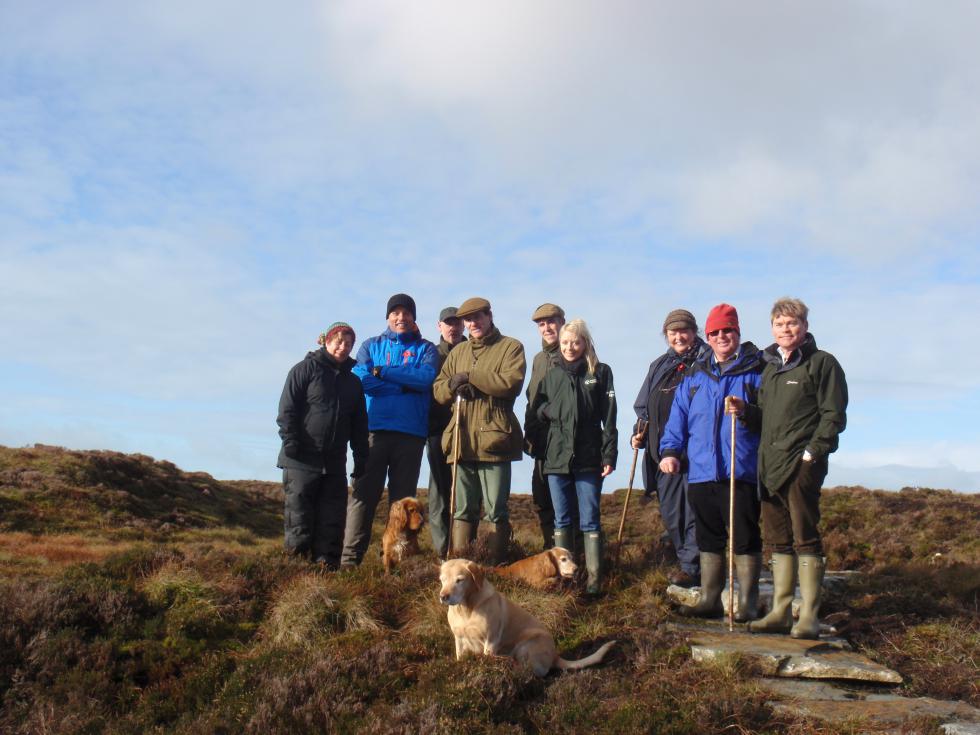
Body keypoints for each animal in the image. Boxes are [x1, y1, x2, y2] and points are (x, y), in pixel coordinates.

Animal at [442, 556, 616, 680]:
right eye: (442, 579)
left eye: (459, 580)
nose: (443, 596)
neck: (466, 609)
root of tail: (555, 655)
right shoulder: (459, 640)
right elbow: (460, 657)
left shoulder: (490, 641)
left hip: (527, 643)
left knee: (532, 672)